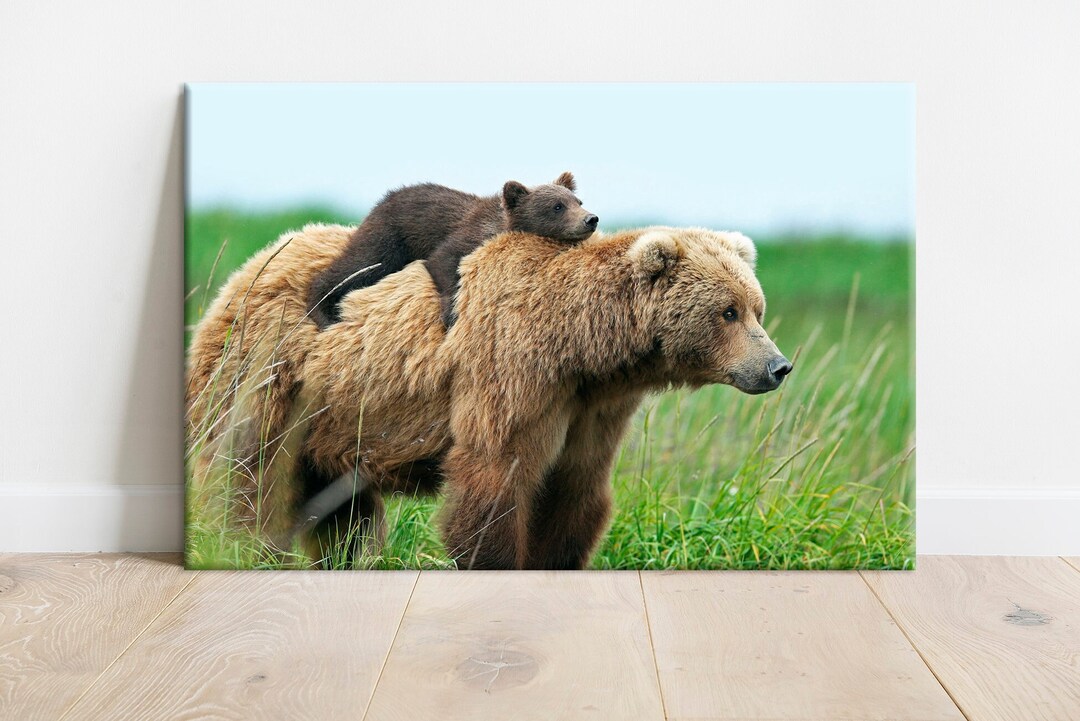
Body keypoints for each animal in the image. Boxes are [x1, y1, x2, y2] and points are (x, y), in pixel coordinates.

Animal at [185, 223, 792, 570]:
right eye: (728, 311)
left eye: (756, 307)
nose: (778, 366)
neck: (582, 347)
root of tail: (245, 269)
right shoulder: (511, 372)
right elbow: (494, 479)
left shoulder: (591, 408)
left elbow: (574, 492)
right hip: (268, 377)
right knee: (248, 476)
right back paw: (243, 551)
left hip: (334, 422)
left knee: (342, 512)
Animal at [306, 172, 598, 329]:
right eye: (557, 206)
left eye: (578, 200)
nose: (590, 219)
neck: (500, 225)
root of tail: (383, 199)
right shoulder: (466, 235)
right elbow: (443, 260)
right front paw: (451, 313)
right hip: (390, 236)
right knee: (359, 265)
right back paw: (322, 312)